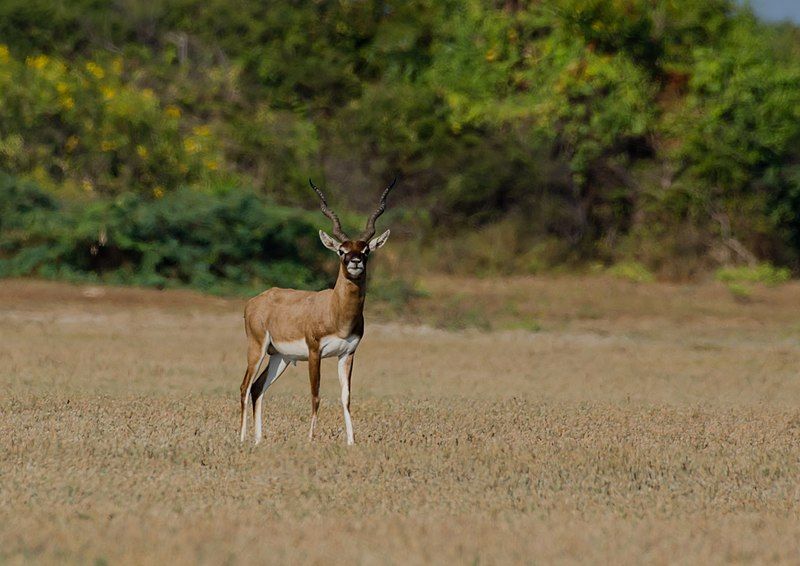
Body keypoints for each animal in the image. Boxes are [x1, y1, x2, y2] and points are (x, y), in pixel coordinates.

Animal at [241, 180, 396, 446]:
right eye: (341, 250)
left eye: (366, 250)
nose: (355, 262)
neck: (336, 313)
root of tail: (255, 301)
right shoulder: (315, 352)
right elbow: (315, 395)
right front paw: (311, 439)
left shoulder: (348, 354)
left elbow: (346, 397)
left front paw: (351, 442)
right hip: (257, 348)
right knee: (245, 387)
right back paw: (241, 439)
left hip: (280, 357)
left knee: (258, 388)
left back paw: (258, 440)